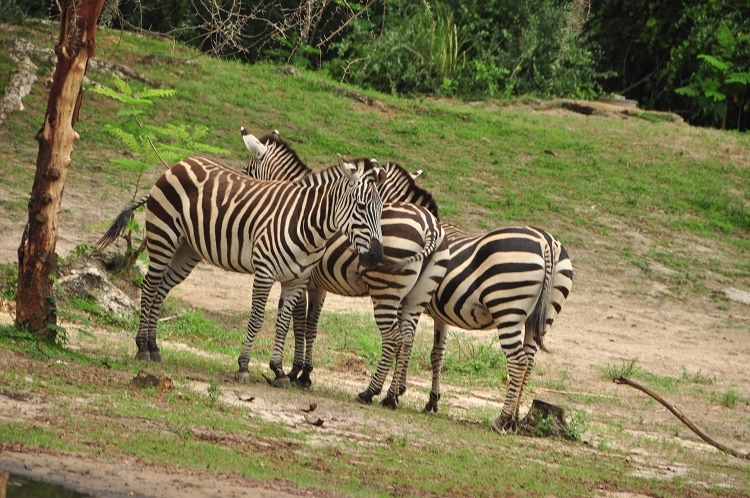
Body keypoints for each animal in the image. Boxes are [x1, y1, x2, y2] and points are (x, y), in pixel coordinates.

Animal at [95, 156, 388, 382]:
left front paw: (278, 371)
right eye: (361, 207)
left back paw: (154, 347)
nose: (377, 256)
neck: (309, 226)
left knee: (161, 289)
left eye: (381, 209)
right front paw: (244, 366)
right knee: (149, 286)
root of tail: (178, 164)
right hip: (163, 237)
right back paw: (142, 348)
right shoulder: (265, 272)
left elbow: (283, 324)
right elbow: (257, 319)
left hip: (187, 250)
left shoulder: (296, 281)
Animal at [244, 128, 450, 404]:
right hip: (415, 295)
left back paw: (371, 392)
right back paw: (392, 396)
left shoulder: (301, 278)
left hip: (387, 290)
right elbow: (311, 325)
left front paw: (294, 371)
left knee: (394, 339)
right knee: (407, 339)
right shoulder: (317, 285)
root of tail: (431, 226)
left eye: (248, 170)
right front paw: (305, 373)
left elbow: (298, 323)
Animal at [418, 222, 576, 432]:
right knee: (529, 362)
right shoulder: (440, 315)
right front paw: (432, 402)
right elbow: (437, 356)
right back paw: (514, 421)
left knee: (518, 362)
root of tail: (547, 242)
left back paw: (502, 420)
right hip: (541, 317)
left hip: (507, 308)